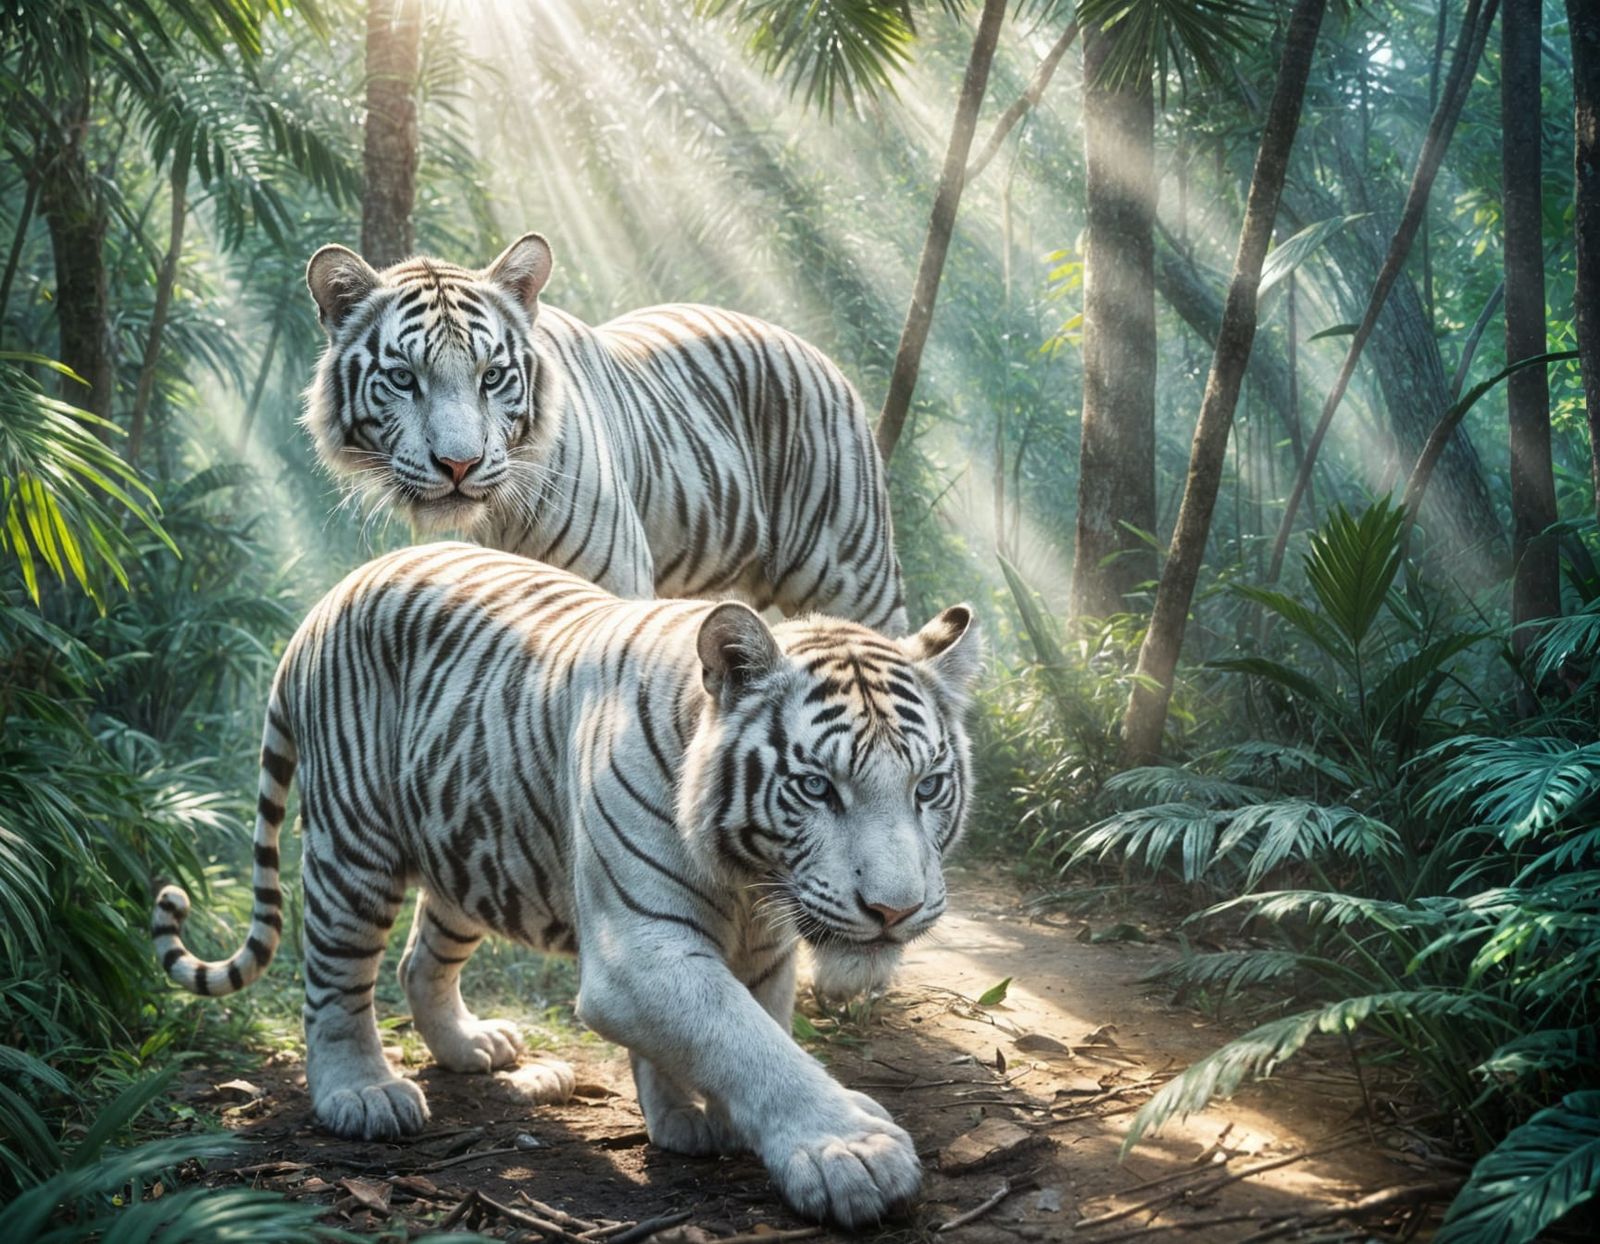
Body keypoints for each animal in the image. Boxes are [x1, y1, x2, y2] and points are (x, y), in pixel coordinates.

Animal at [151, 542, 978, 1228]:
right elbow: (747, 1041)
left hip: (470, 845)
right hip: (355, 846)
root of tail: (328, 599)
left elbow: (744, 1028)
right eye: (816, 788)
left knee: (421, 961)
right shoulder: (637, 950)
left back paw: (471, 1045)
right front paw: (849, 1150)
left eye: (928, 787)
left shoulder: (762, 950)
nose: (894, 910)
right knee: (334, 980)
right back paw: (361, 1093)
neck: (750, 882)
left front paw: (688, 1118)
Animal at [302, 235, 908, 634]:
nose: (459, 465)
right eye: (404, 378)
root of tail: (822, 357)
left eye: (491, 376)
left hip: (855, 580)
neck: (495, 519)